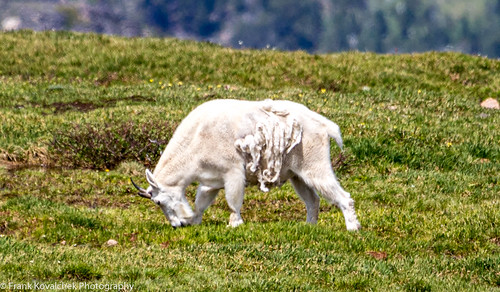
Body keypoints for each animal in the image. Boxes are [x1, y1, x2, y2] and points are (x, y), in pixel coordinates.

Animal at [131, 99, 362, 232]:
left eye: (158, 201)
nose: (176, 225)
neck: (195, 139)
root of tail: (325, 126)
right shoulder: (211, 178)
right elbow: (201, 201)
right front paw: (194, 221)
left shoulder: (232, 170)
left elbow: (233, 199)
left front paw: (234, 223)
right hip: (298, 173)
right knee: (312, 199)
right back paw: (309, 226)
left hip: (314, 163)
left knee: (341, 195)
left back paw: (352, 227)